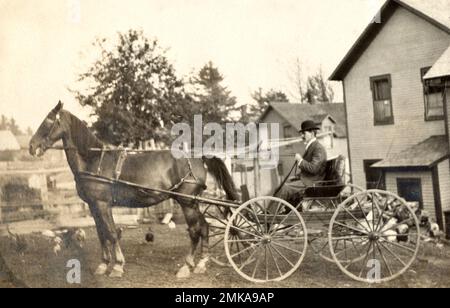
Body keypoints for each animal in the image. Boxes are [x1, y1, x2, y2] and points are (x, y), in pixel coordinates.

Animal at [28, 101, 241, 280]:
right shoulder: (93, 206)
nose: (31, 146)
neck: (93, 160)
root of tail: (198, 157)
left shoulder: (103, 204)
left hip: (187, 202)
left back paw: (187, 266)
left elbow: (112, 233)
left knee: (195, 231)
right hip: (193, 202)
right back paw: (202, 264)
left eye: (48, 121)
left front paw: (117, 266)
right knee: (205, 227)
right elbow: (101, 234)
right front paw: (103, 264)